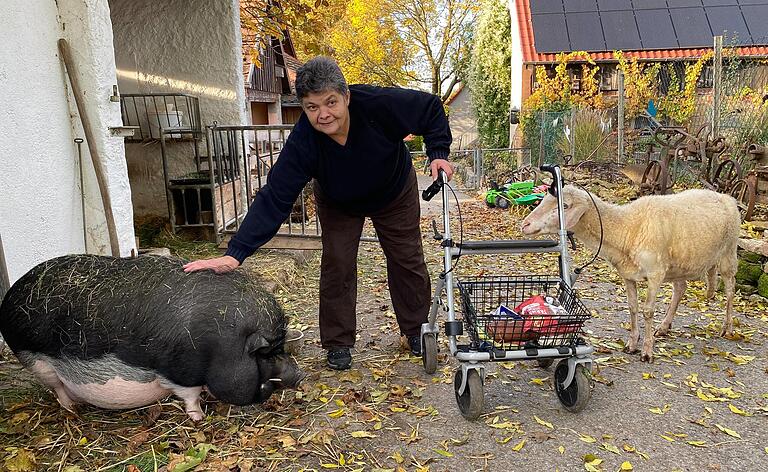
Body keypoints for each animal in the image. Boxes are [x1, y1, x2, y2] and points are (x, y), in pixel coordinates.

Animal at [0, 254, 304, 420]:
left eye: (281, 347)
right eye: (267, 354)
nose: (300, 375)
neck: (223, 348)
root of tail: (10, 296)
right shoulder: (179, 372)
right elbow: (190, 395)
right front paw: (199, 418)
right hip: (34, 360)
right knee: (59, 389)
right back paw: (74, 409)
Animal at [520, 184, 740, 362]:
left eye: (564, 206)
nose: (525, 224)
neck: (627, 226)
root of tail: (725, 196)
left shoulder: (655, 273)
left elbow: (647, 311)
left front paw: (647, 352)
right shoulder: (628, 274)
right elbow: (633, 307)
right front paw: (632, 345)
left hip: (729, 252)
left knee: (730, 290)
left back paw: (727, 327)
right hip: (680, 264)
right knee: (680, 289)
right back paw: (664, 326)